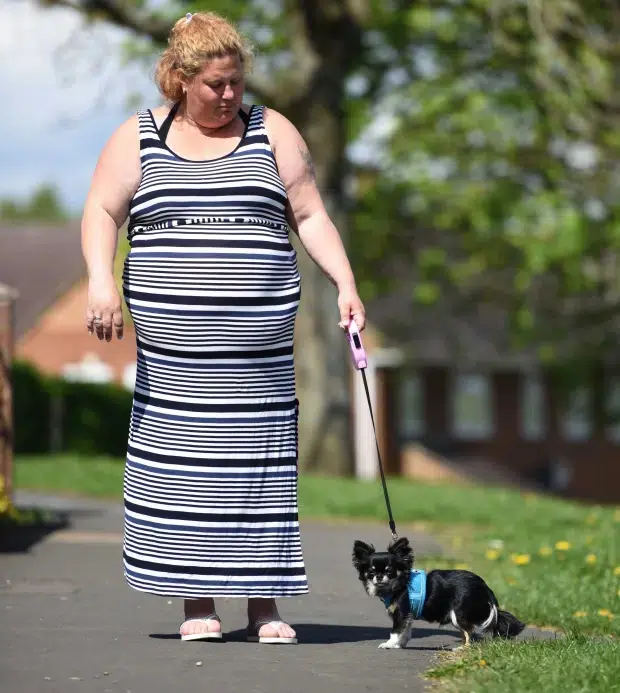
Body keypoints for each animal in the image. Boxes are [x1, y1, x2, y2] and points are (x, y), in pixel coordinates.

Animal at [352, 536, 524, 648]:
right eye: (371, 572)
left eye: (390, 571)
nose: (380, 576)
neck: (400, 585)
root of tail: (484, 586)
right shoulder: (408, 616)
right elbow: (405, 632)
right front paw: (399, 645)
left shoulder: (400, 613)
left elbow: (395, 631)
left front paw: (389, 644)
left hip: (458, 614)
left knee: (469, 633)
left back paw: (462, 649)